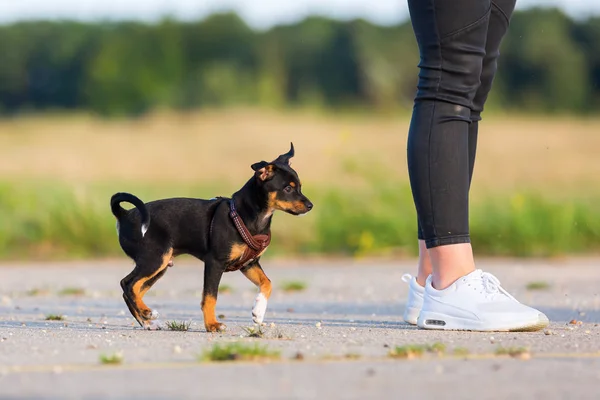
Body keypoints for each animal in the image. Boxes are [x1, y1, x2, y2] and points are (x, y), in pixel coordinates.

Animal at [110, 144, 314, 332]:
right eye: (287, 188)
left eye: (299, 187)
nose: (310, 206)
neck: (251, 216)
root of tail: (125, 214)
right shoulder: (215, 263)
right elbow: (210, 296)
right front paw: (212, 325)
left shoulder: (249, 264)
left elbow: (268, 283)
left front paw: (258, 312)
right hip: (155, 259)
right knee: (127, 284)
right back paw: (146, 313)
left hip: (160, 265)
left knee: (133, 289)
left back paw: (146, 320)